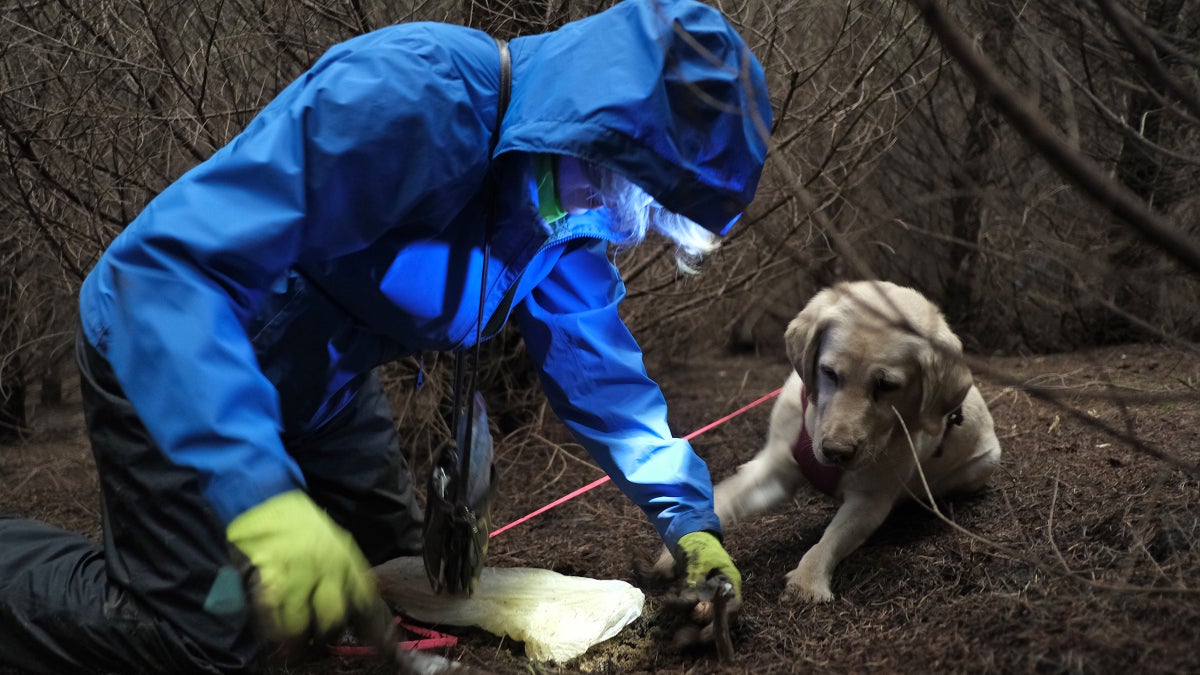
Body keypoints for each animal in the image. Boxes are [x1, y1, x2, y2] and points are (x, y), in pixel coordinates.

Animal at [652, 278, 998, 598]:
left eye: (887, 386)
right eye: (829, 372)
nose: (836, 452)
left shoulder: (870, 500)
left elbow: (830, 539)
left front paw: (808, 580)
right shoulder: (776, 471)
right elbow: (726, 497)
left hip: (981, 465)